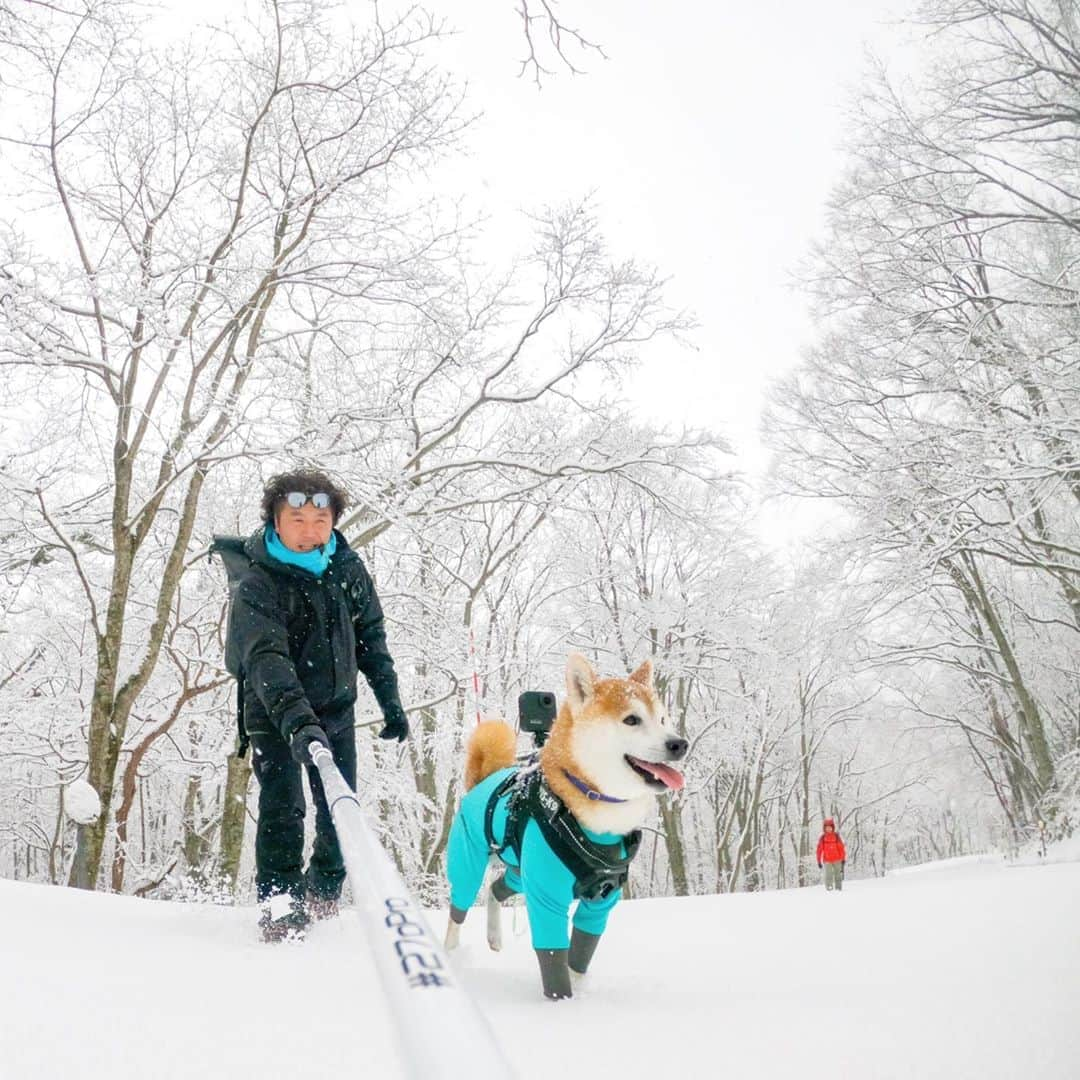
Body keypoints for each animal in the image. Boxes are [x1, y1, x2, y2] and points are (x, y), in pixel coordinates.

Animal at [442, 648, 686, 993]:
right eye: (631, 720)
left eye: (663, 718)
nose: (679, 743)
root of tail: (484, 779)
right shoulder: (546, 895)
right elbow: (553, 956)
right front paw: (561, 1000)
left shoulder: (600, 901)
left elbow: (581, 954)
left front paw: (579, 993)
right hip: (469, 861)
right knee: (459, 908)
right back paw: (449, 957)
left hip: (520, 870)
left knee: (496, 887)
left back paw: (494, 936)